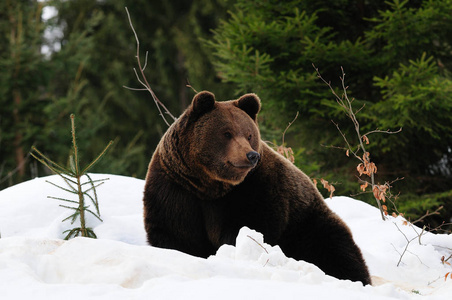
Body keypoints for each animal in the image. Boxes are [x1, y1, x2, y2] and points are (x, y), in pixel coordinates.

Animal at [144, 90, 370, 284]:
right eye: (226, 133)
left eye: (249, 134)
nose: (251, 155)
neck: (211, 185)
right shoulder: (177, 188)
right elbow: (175, 232)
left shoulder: (257, 190)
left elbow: (248, 229)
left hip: (308, 225)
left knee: (336, 249)